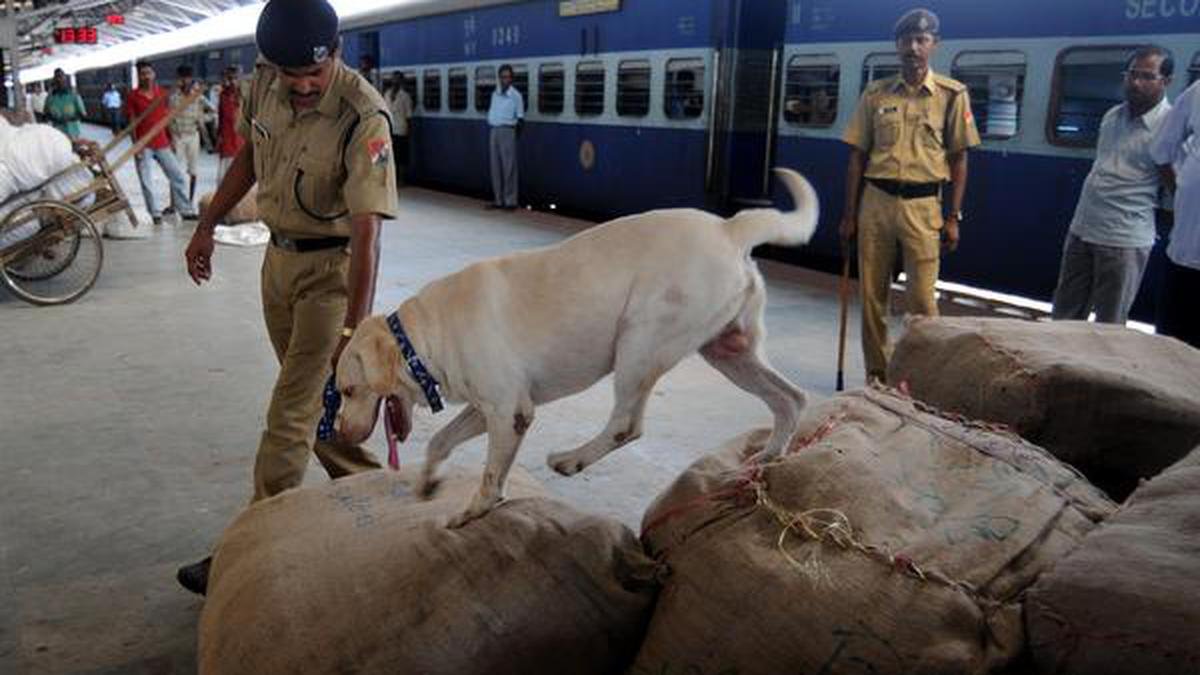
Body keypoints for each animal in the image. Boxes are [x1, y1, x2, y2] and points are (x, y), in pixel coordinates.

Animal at [343, 168, 820, 526]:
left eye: (347, 391)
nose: (340, 433)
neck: (425, 335)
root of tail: (729, 226)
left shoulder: (510, 412)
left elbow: (491, 475)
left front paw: (474, 510)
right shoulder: (486, 409)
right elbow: (440, 441)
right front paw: (428, 481)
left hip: (639, 344)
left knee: (627, 425)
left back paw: (570, 460)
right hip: (729, 352)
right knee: (791, 399)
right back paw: (766, 458)